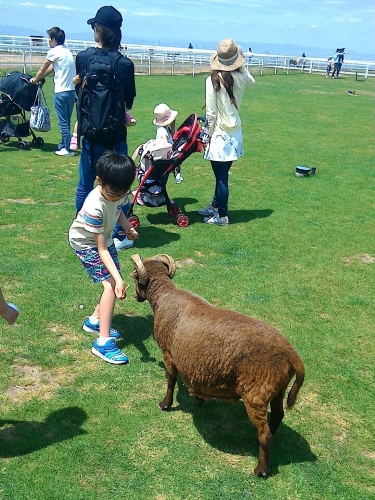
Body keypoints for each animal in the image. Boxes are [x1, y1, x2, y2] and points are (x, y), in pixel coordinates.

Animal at [129, 254, 306, 476]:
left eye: (135, 278)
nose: (134, 296)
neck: (163, 296)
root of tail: (292, 355)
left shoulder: (168, 353)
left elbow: (170, 380)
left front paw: (165, 404)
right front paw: (198, 398)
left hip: (255, 394)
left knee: (265, 433)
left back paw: (261, 470)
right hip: (277, 389)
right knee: (277, 416)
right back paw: (257, 443)